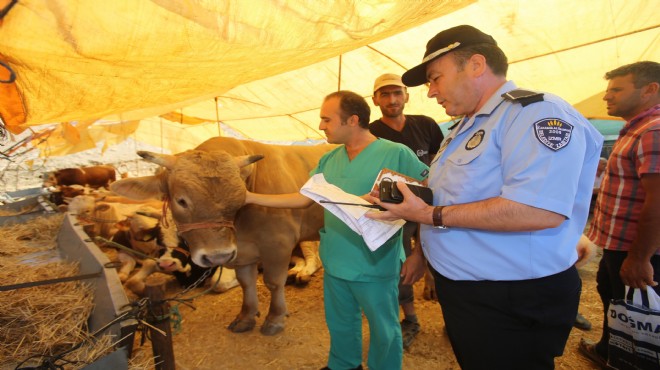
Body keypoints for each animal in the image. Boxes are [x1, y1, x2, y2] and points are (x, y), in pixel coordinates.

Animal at [111, 137, 336, 336]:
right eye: (181, 201)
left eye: (239, 199)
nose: (217, 256)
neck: (242, 227)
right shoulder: (241, 252)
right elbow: (246, 283)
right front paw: (245, 317)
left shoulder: (278, 244)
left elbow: (273, 282)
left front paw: (275, 319)